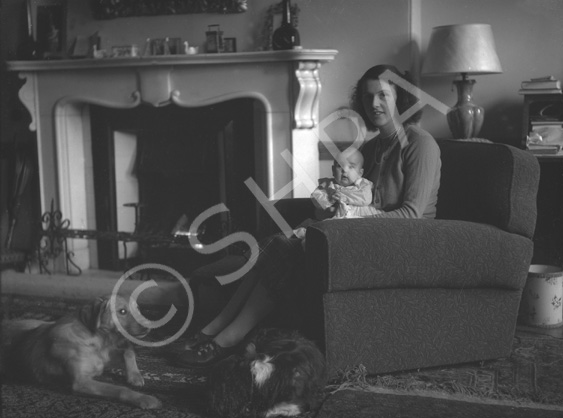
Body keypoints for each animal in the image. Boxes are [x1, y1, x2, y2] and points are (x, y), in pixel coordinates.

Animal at [0, 296, 163, 410]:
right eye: (122, 311)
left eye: (138, 309)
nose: (150, 325)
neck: (97, 341)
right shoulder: (81, 382)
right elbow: (120, 389)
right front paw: (145, 398)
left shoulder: (105, 357)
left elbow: (128, 351)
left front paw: (135, 376)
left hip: (37, 322)